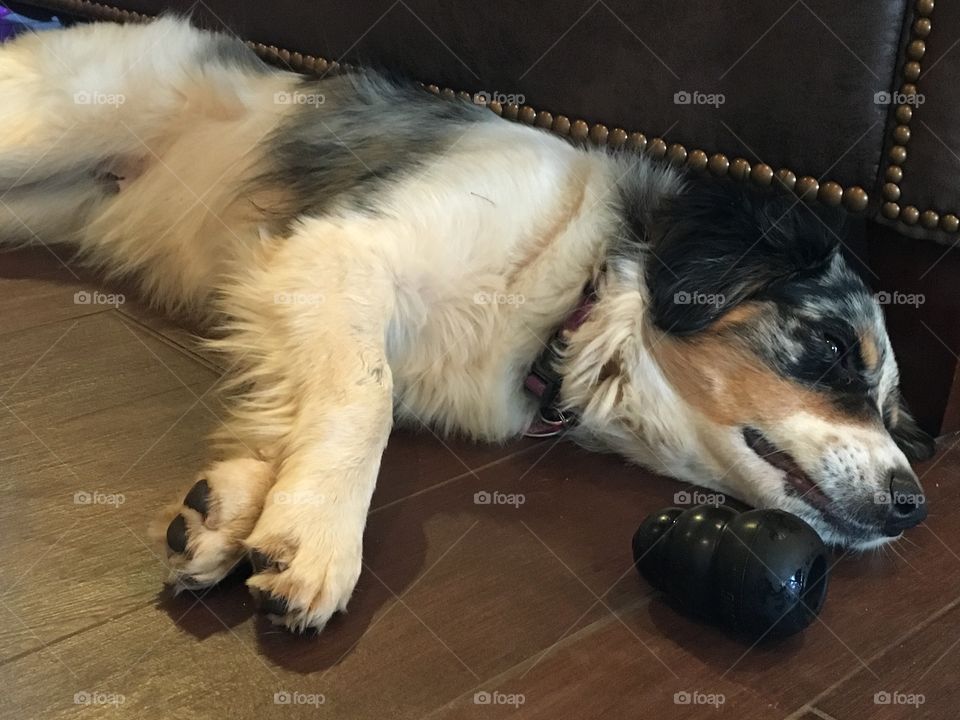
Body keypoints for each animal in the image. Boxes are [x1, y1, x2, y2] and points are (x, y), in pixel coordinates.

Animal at [0, 18, 928, 636]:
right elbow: (364, 398)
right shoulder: (340, 251)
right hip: (43, 133)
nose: (913, 504)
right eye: (832, 348)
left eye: (890, 409)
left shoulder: (294, 297)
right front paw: (319, 536)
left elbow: (296, 410)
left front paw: (232, 510)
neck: (573, 295)